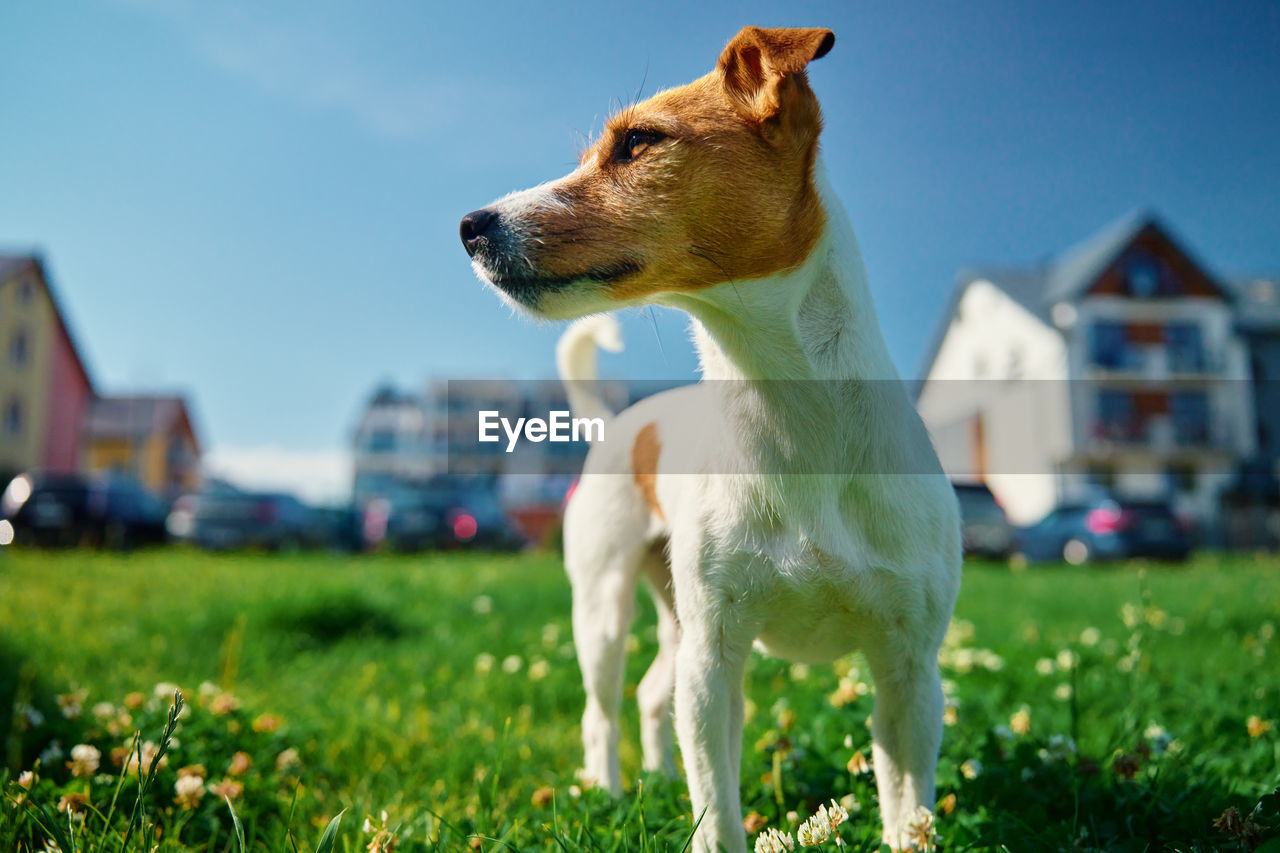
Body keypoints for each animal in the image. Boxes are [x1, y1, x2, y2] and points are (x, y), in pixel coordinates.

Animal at [463, 26, 962, 850]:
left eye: (638, 141)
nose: (470, 225)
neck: (795, 426)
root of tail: (621, 421)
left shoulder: (910, 673)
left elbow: (908, 813)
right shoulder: (716, 659)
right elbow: (719, 812)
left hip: (675, 618)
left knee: (648, 695)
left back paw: (657, 779)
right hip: (606, 607)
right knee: (602, 712)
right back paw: (609, 792)